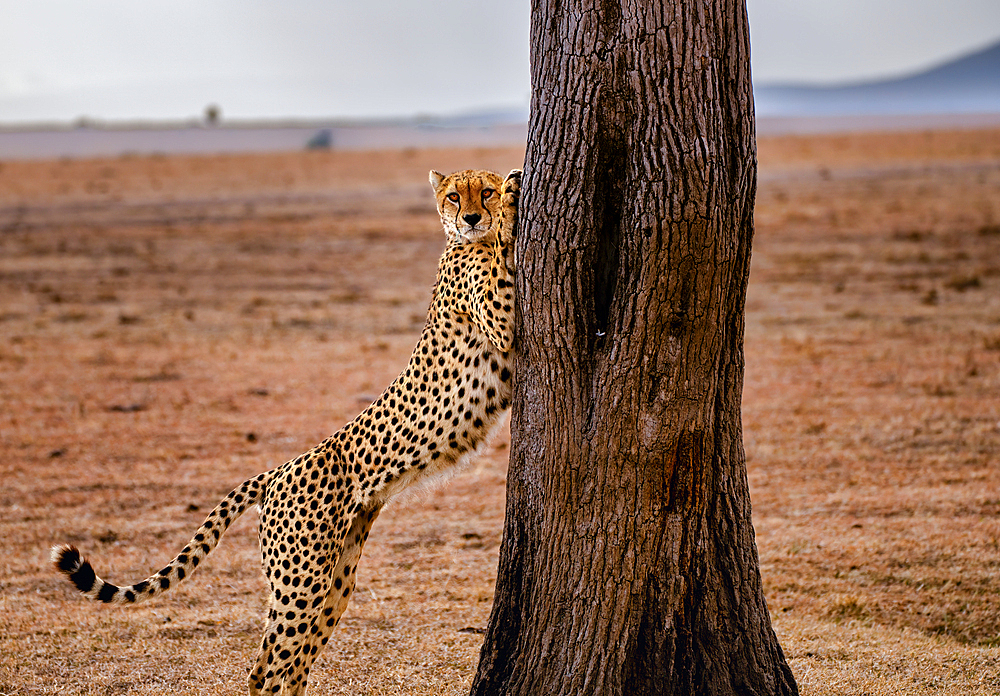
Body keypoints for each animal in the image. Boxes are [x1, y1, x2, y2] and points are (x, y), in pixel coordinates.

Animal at [52, 169, 524, 696]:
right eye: (454, 196)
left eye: (480, 192)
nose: (472, 217)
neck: (460, 244)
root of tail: (277, 471)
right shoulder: (500, 320)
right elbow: (502, 261)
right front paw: (512, 198)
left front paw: (507, 195)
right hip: (302, 582)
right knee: (268, 667)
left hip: (334, 581)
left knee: (286, 665)